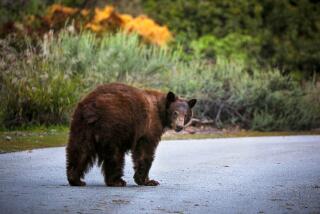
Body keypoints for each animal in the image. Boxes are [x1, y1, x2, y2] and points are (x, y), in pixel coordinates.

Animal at [66, 83, 196, 186]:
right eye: (175, 113)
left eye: (185, 115)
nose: (179, 126)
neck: (161, 112)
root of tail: (92, 108)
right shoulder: (149, 126)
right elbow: (145, 151)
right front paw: (147, 180)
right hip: (113, 125)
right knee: (114, 154)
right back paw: (116, 181)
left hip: (81, 125)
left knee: (80, 150)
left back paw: (75, 179)